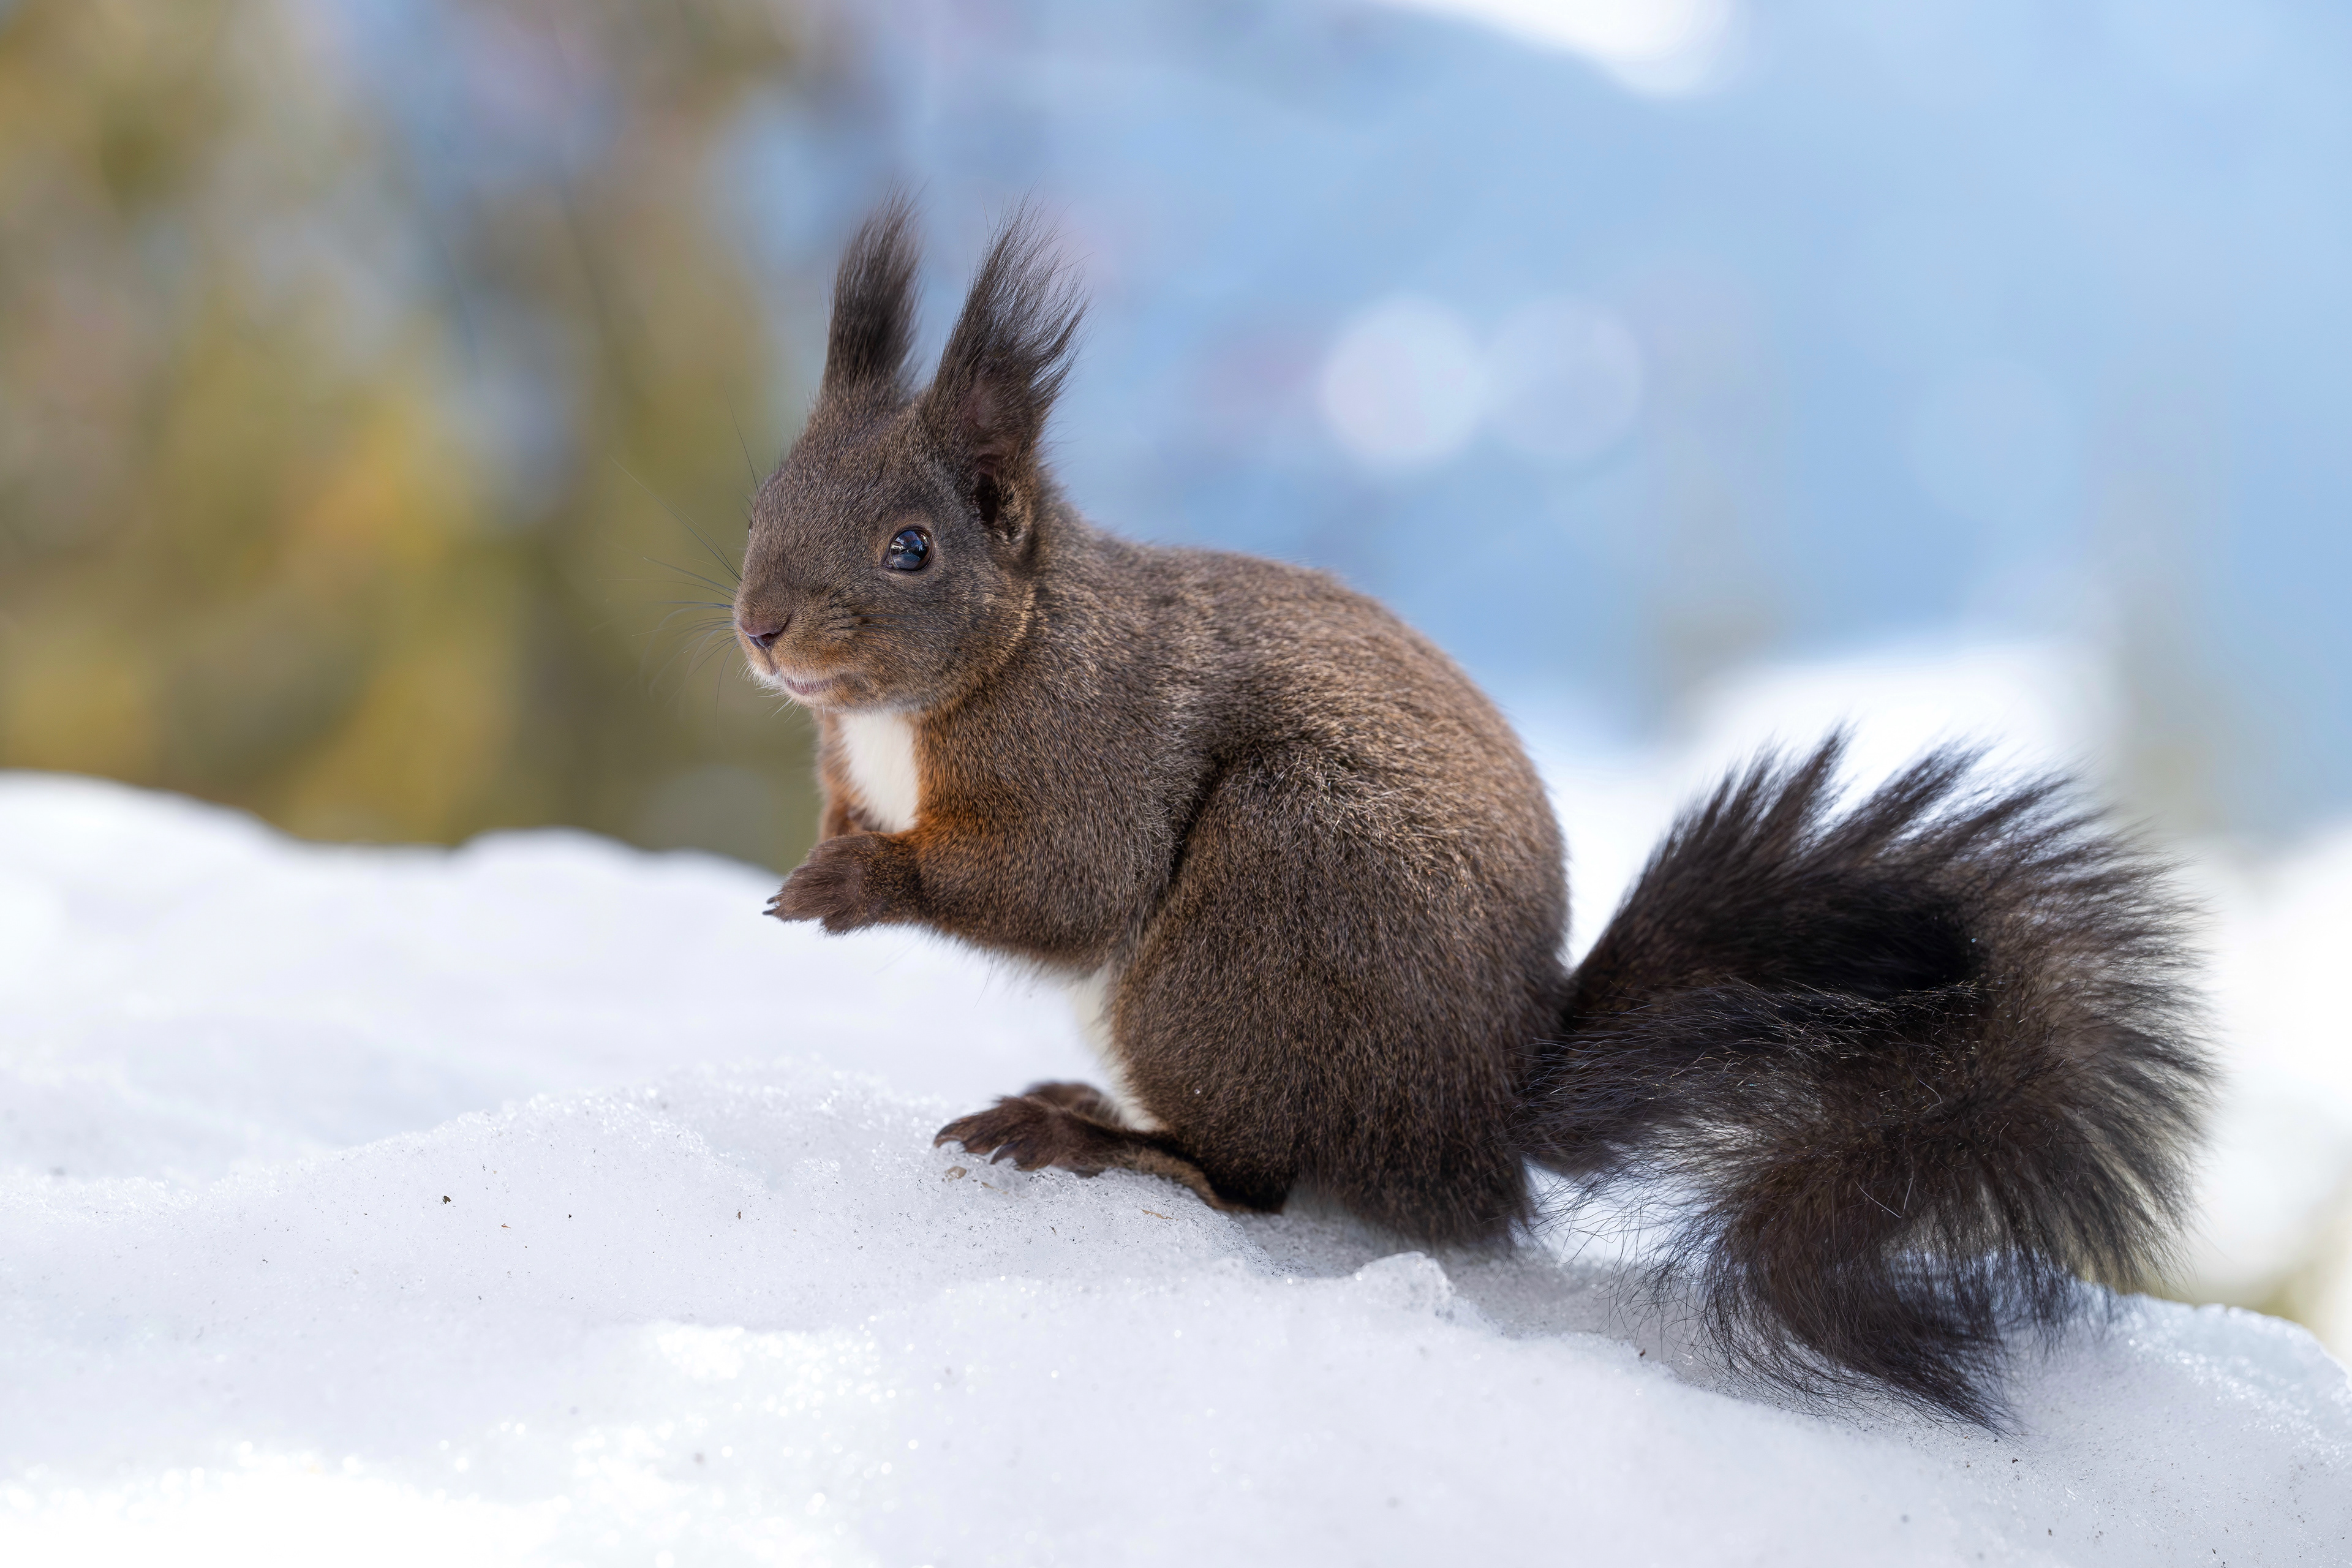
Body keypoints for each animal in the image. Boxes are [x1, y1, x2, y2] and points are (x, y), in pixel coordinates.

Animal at [732, 197, 2210, 1427]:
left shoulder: (1093, 748)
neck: (974, 669)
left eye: (912, 549)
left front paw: (857, 889)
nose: (760, 629)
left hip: (1268, 906)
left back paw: (1092, 1141)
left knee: (1254, 1175)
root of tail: (1477, 1115)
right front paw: (823, 862)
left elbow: (1063, 884)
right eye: (764, 501)